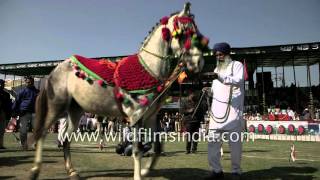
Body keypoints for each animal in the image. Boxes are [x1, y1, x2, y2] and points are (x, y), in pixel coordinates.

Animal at [30, 2, 209, 180]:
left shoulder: (151, 117)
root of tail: (56, 69)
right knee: (42, 134)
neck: (148, 68)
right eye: (183, 33)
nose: (198, 63)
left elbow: (157, 147)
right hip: (56, 107)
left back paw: (72, 171)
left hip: (75, 111)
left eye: (197, 33)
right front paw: (138, 175)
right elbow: (137, 151)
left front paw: (145, 171)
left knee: (66, 139)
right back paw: (35, 170)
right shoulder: (136, 118)